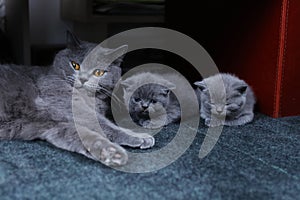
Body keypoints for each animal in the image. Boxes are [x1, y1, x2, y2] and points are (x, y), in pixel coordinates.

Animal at [0, 32, 154, 166]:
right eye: (75, 65)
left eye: (98, 72)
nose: (83, 79)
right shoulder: (64, 103)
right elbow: (104, 124)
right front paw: (138, 136)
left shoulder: (51, 126)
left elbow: (79, 135)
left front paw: (111, 153)